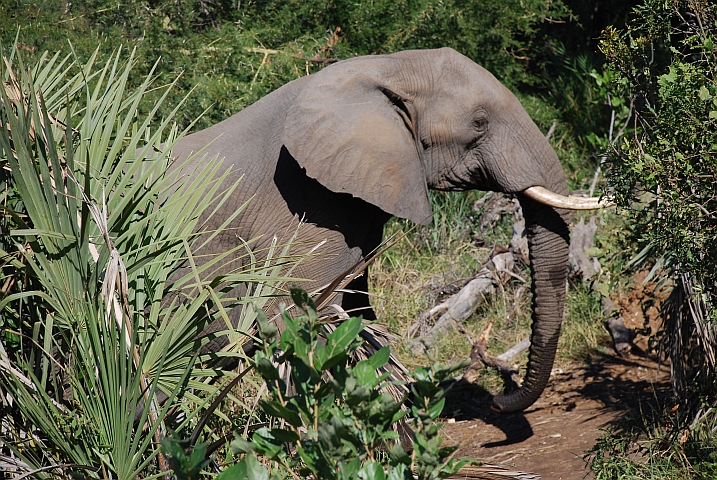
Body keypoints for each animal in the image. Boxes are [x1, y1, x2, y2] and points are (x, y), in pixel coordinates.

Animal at [172, 47, 600, 412]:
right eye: (479, 123)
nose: (498, 398)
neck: (388, 66)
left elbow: (358, 312)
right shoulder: (303, 204)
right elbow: (311, 321)